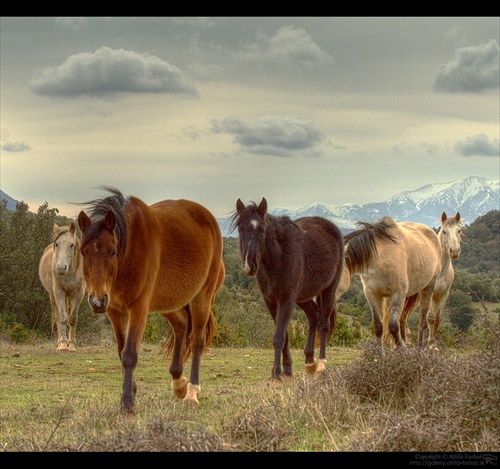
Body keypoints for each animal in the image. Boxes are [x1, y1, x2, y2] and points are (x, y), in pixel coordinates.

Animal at [38, 223, 86, 352]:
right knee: (58, 316)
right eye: (57, 244)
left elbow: (73, 318)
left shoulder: (79, 294)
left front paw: (72, 346)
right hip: (53, 296)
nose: (61, 268)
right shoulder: (59, 292)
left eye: (72, 244)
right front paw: (64, 345)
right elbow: (63, 318)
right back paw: (60, 343)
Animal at [76, 186, 225, 414]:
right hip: (168, 302)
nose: (97, 301)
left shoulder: (139, 308)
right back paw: (179, 383)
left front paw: (127, 402)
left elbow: (129, 354)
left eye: (112, 251)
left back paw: (192, 392)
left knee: (197, 341)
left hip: (202, 297)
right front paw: (131, 392)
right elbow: (121, 352)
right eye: (84, 252)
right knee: (181, 325)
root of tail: (209, 218)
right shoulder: (115, 312)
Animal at [229, 197, 344, 380]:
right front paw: (287, 369)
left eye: (262, 230)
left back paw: (321, 365)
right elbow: (285, 336)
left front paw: (276, 373)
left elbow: (278, 337)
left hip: (328, 291)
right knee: (313, 316)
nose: (249, 265)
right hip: (303, 296)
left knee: (324, 324)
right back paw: (309, 361)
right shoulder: (271, 301)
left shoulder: (286, 300)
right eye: (241, 229)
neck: (278, 258)